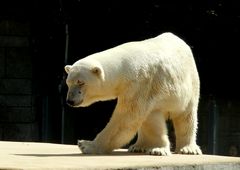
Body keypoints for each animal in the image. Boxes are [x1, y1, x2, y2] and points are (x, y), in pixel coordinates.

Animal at [64, 31, 202, 155]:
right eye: (68, 83)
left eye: (80, 82)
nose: (70, 101)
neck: (123, 67)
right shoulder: (142, 89)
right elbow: (141, 116)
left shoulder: (140, 83)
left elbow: (126, 117)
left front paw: (86, 145)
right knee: (153, 116)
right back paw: (142, 147)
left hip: (190, 84)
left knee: (186, 116)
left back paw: (187, 149)